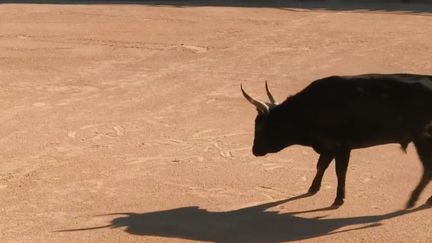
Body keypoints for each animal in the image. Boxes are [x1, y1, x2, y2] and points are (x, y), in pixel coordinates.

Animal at [241, 73, 432, 208]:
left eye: (259, 126)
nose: (255, 150)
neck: (309, 109)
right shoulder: (328, 146)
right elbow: (321, 165)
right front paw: (313, 188)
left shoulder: (342, 147)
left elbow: (339, 171)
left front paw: (339, 198)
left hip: (422, 139)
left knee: (428, 169)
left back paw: (415, 199)